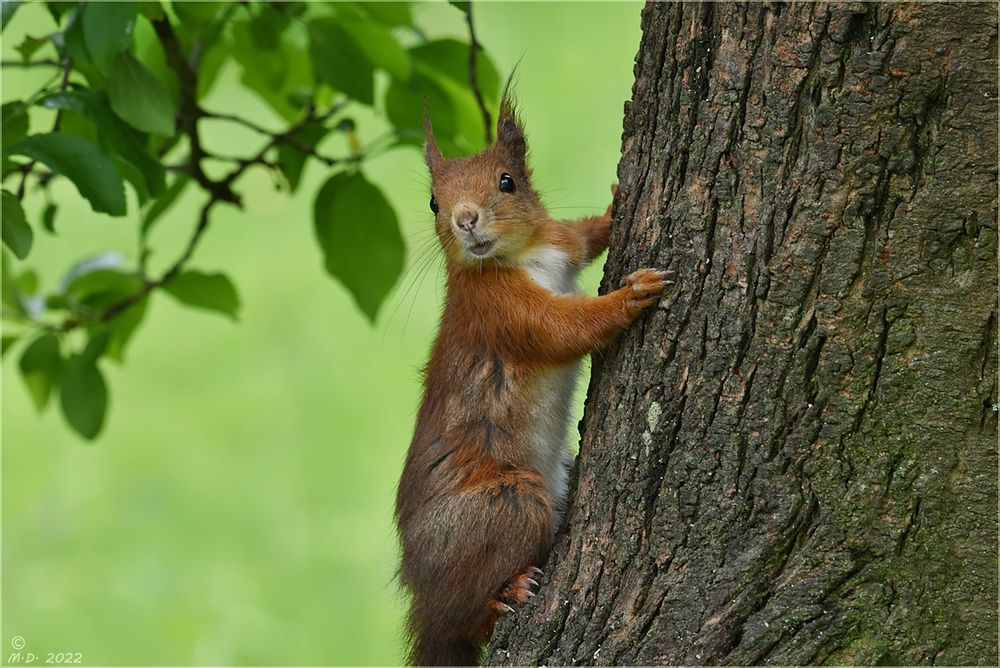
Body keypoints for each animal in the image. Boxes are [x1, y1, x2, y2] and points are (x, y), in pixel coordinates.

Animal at [394, 82, 668, 664]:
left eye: (507, 181)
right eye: (433, 202)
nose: (465, 219)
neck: (523, 253)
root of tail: (423, 605)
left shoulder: (561, 244)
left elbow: (583, 238)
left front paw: (615, 204)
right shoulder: (502, 314)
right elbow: (565, 329)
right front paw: (630, 296)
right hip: (509, 506)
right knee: (464, 618)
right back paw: (505, 594)